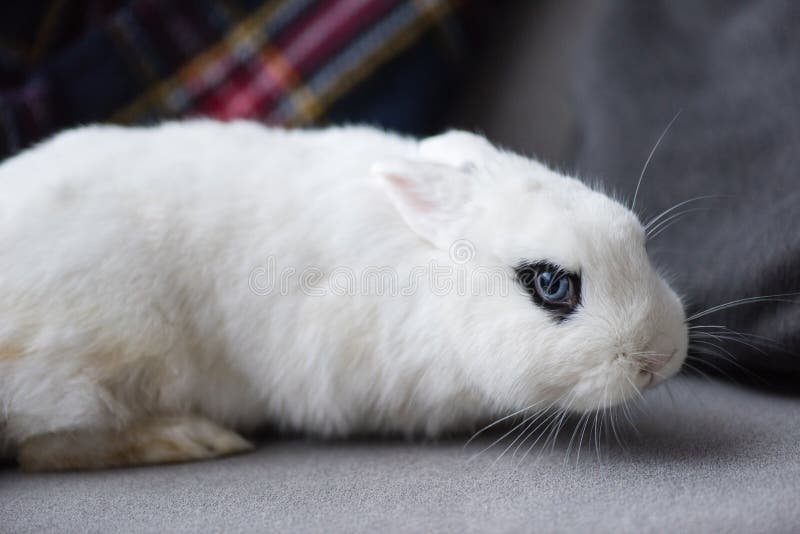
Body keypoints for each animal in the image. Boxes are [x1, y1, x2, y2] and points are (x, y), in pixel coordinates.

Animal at [0, 121, 687, 471]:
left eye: (636, 240)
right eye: (551, 285)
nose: (659, 358)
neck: (432, 277)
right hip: (90, 361)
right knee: (43, 447)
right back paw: (191, 439)